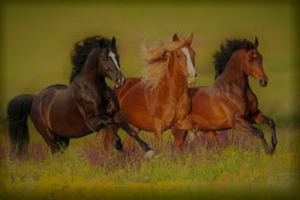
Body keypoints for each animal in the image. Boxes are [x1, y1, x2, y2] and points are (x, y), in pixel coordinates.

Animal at [7, 35, 154, 158]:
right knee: (56, 153)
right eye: (105, 58)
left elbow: (130, 130)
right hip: (50, 138)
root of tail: (35, 100)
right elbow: (108, 122)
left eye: (117, 56)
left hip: (64, 138)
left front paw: (149, 151)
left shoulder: (116, 113)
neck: (94, 91)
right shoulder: (92, 122)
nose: (120, 80)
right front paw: (118, 145)